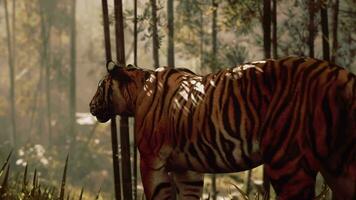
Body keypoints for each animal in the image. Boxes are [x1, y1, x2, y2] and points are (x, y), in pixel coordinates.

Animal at [89, 56, 356, 200]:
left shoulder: (151, 160)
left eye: (100, 86)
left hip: (288, 161)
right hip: (340, 165)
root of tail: (341, 74)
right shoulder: (188, 169)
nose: (90, 106)